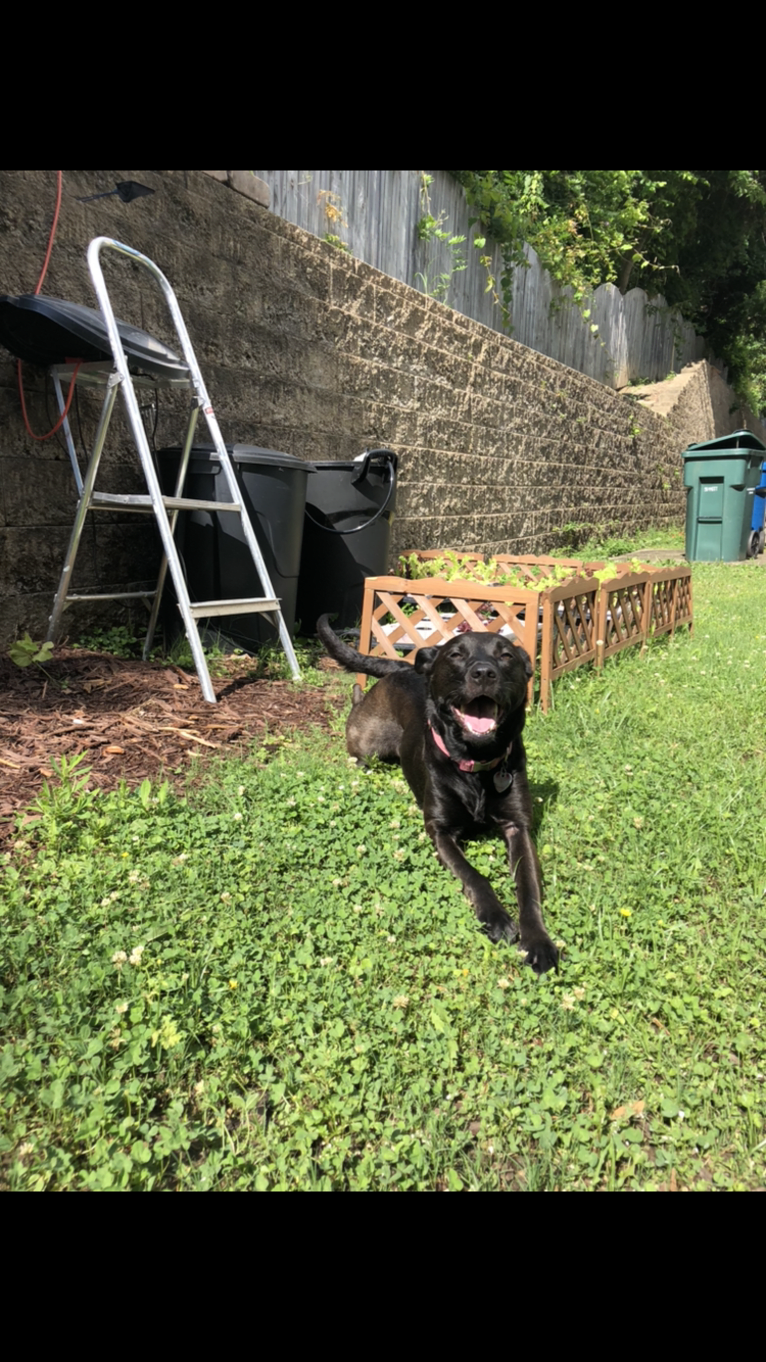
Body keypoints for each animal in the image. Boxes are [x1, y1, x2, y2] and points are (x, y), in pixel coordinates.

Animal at [316, 612, 553, 975]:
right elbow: (474, 876)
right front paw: (496, 917)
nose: (483, 673)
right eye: (456, 654)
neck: (476, 763)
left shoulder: (519, 827)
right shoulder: (440, 831)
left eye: (506, 656)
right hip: (369, 742)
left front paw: (538, 940)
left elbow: (528, 887)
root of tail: (404, 668)